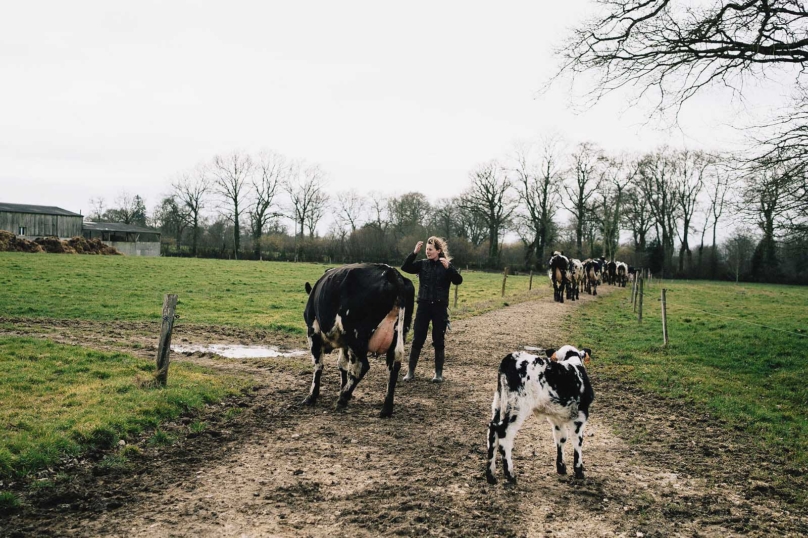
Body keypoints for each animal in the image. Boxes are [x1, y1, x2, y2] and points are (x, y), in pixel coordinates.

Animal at [304, 262, 416, 416]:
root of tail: (392, 272)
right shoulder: (345, 343)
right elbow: (342, 364)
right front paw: (343, 388)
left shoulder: (313, 330)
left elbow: (318, 364)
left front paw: (312, 396)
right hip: (399, 334)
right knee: (394, 365)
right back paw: (386, 408)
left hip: (356, 338)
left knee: (362, 366)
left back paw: (342, 399)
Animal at [486, 346, 592, 484]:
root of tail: (511, 357)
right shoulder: (580, 416)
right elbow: (577, 440)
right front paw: (579, 470)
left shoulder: (556, 417)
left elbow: (561, 438)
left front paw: (561, 467)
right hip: (517, 407)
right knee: (504, 434)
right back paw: (510, 475)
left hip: (499, 402)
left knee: (492, 430)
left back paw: (490, 475)